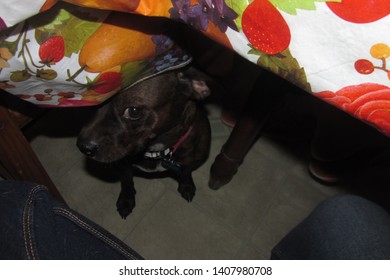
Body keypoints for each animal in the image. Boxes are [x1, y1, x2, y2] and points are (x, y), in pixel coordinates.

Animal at [76, 66, 210, 219]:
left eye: (134, 111)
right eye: (95, 103)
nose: (83, 146)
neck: (157, 150)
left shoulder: (192, 161)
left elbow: (186, 172)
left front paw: (186, 185)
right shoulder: (124, 167)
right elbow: (127, 182)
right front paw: (126, 200)